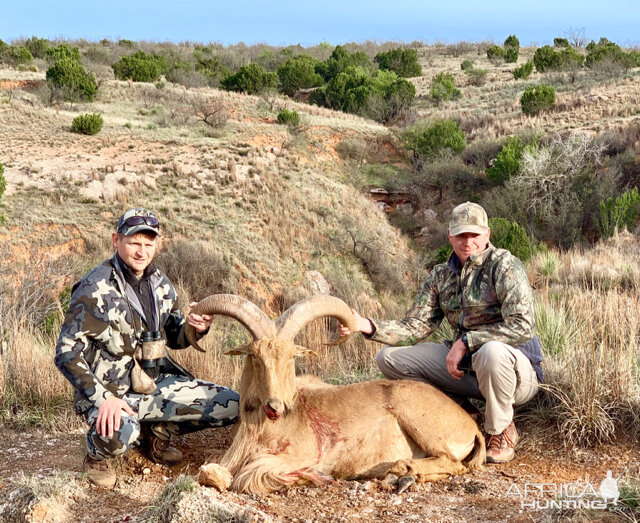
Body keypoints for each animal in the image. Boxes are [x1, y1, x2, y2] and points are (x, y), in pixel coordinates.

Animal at [186, 294, 484, 496]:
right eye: (255, 357)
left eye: (291, 356)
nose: (275, 407)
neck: (263, 427)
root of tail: (470, 425)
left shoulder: (299, 455)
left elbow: (248, 476)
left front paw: (311, 477)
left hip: (417, 418)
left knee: (453, 463)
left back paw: (401, 471)